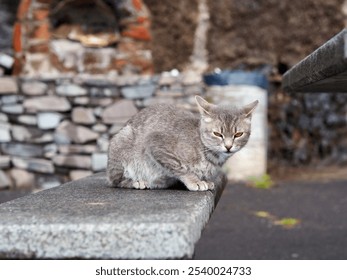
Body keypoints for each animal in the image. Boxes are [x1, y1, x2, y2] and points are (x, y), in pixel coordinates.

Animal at [107, 95, 260, 190]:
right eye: (217, 134)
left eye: (238, 134)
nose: (228, 146)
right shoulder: (155, 141)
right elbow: (180, 167)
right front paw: (195, 181)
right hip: (122, 141)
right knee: (115, 180)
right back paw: (136, 181)